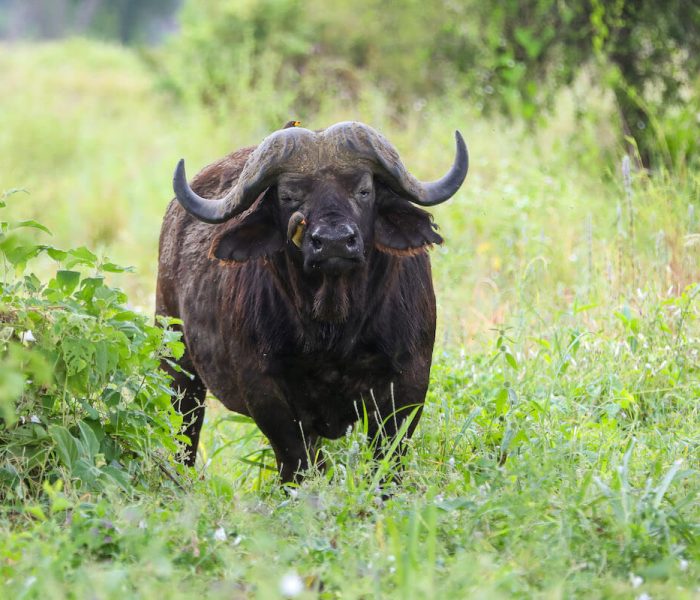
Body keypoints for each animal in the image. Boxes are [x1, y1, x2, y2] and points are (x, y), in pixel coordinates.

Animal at [156, 120, 468, 482]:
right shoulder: (265, 391)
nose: (334, 242)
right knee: (184, 433)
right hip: (177, 366)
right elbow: (297, 461)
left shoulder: (409, 381)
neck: (334, 328)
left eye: (364, 190)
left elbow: (387, 457)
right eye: (289, 195)